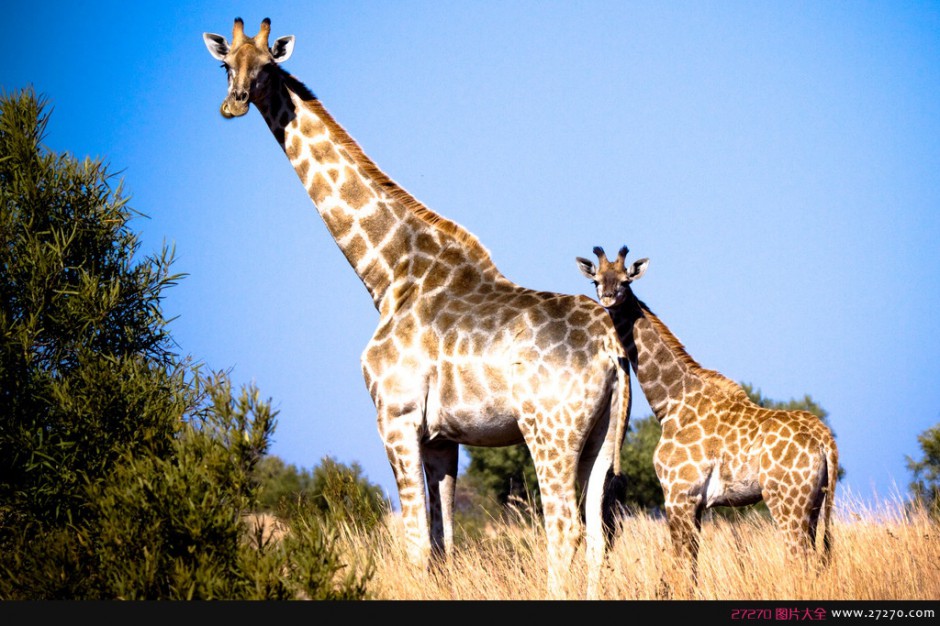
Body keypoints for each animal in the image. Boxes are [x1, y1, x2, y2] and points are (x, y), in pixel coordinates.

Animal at [205, 18, 632, 596]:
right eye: (226, 64)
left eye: (268, 66)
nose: (234, 103)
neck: (388, 275)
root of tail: (612, 350)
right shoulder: (442, 438)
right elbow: (443, 542)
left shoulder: (396, 415)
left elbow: (412, 545)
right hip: (601, 441)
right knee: (596, 535)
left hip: (549, 430)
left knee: (563, 528)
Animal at [576, 246, 840, 576]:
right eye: (596, 280)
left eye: (626, 281)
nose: (608, 297)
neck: (671, 401)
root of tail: (825, 441)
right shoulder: (696, 504)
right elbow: (691, 566)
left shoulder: (679, 495)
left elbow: (682, 567)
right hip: (816, 504)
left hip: (787, 502)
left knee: (799, 559)